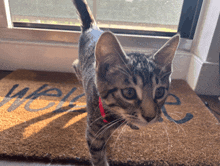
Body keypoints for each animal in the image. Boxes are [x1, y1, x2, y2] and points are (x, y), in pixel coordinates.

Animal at [71, 0, 180, 165]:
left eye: (160, 92)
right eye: (129, 93)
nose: (150, 117)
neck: (116, 115)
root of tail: (92, 29)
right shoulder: (94, 135)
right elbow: (98, 157)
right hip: (78, 67)